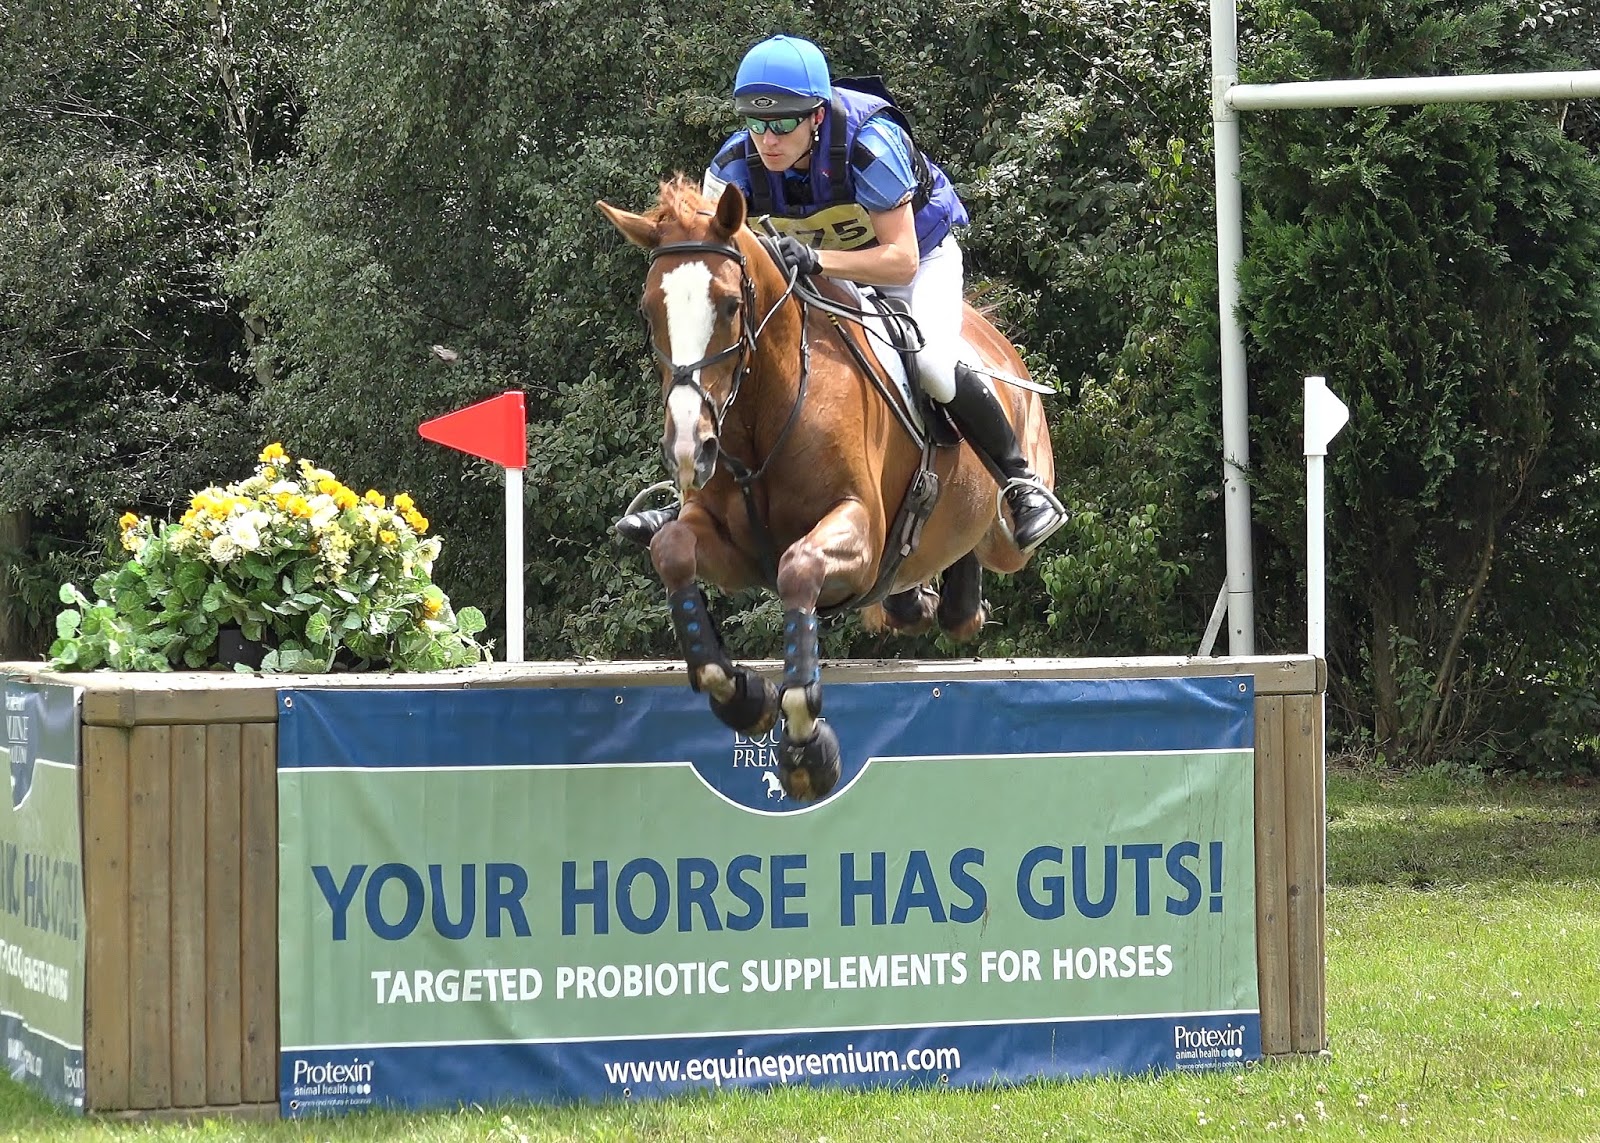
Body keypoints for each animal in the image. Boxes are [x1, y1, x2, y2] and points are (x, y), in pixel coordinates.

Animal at [597, 177, 1055, 802]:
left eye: (731, 305)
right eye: (650, 312)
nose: (689, 448)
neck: (767, 408)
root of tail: (995, 341)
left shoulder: (856, 535)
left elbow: (800, 569)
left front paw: (805, 746)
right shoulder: (735, 551)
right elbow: (672, 552)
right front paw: (742, 697)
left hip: (1008, 529)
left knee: (992, 517)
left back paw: (1024, 513)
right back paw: (926, 600)